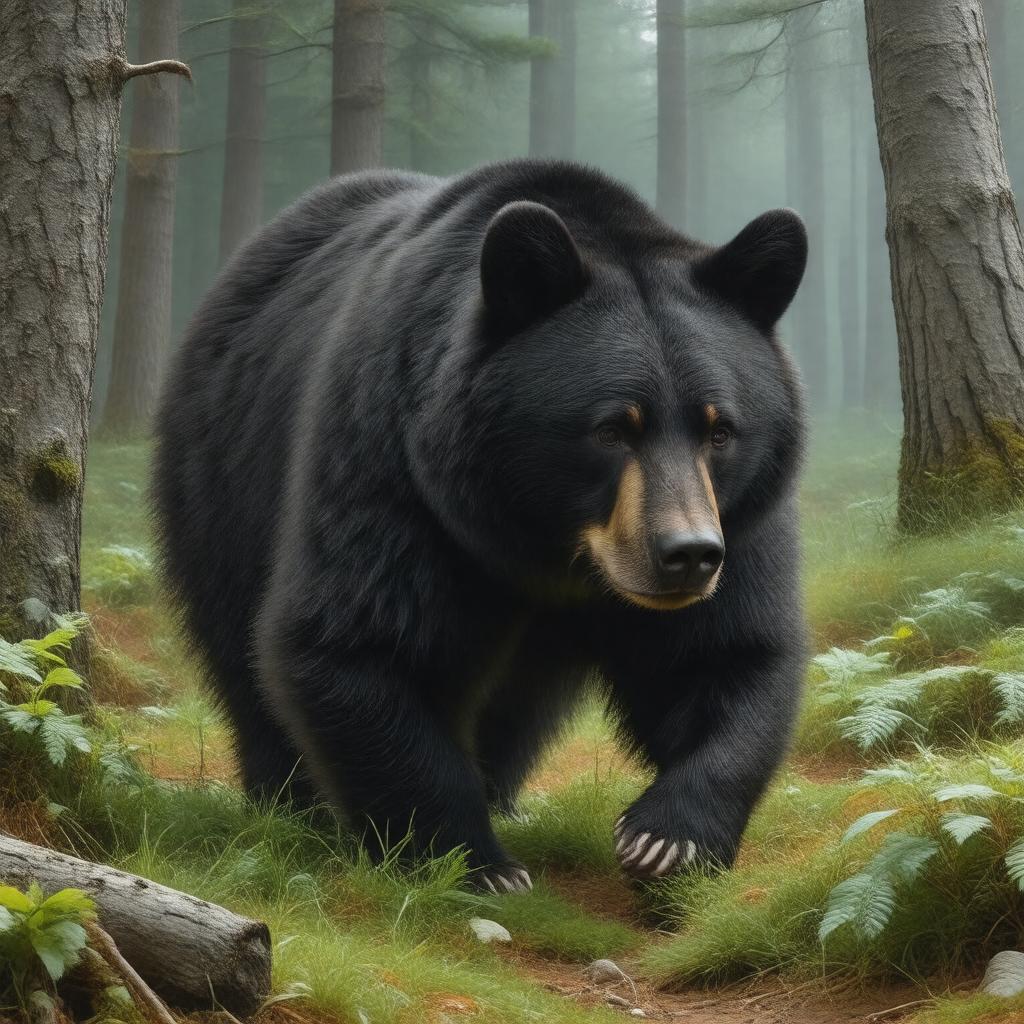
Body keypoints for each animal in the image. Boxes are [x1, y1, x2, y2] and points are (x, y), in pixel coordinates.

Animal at [153, 159, 808, 895]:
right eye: (613, 428)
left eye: (718, 428)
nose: (686, 554)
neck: (542, 544)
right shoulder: (395, 468)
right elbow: (358, 641)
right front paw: (473, 862)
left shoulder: (741, 516)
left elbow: (727, 652)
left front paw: (667, 839)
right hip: (222, 475)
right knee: (237, 644)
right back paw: (291, 802)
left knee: (519, 701)